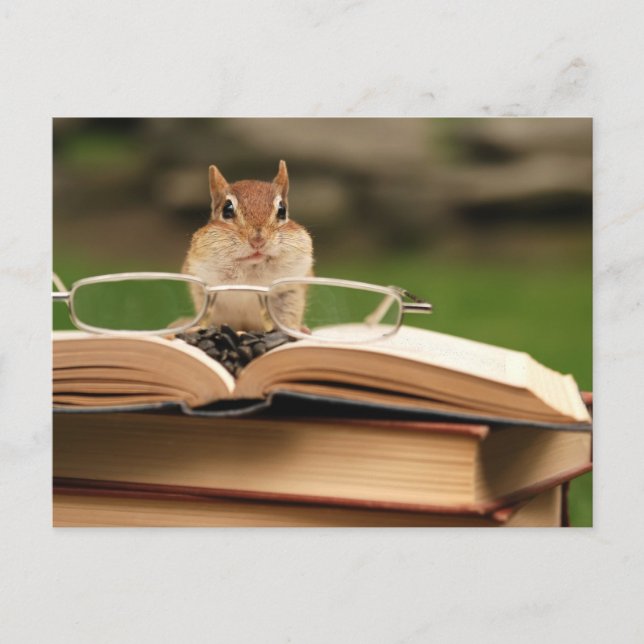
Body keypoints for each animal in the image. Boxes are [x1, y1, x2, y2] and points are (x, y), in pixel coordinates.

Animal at [182, 160, 314, 331]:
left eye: (282, 210)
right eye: (227, 209)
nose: (258, 240)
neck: (250, 270)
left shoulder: (291, 289)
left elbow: (288, 315)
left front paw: (296, 329)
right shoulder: (202, 287)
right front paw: (197, 328)